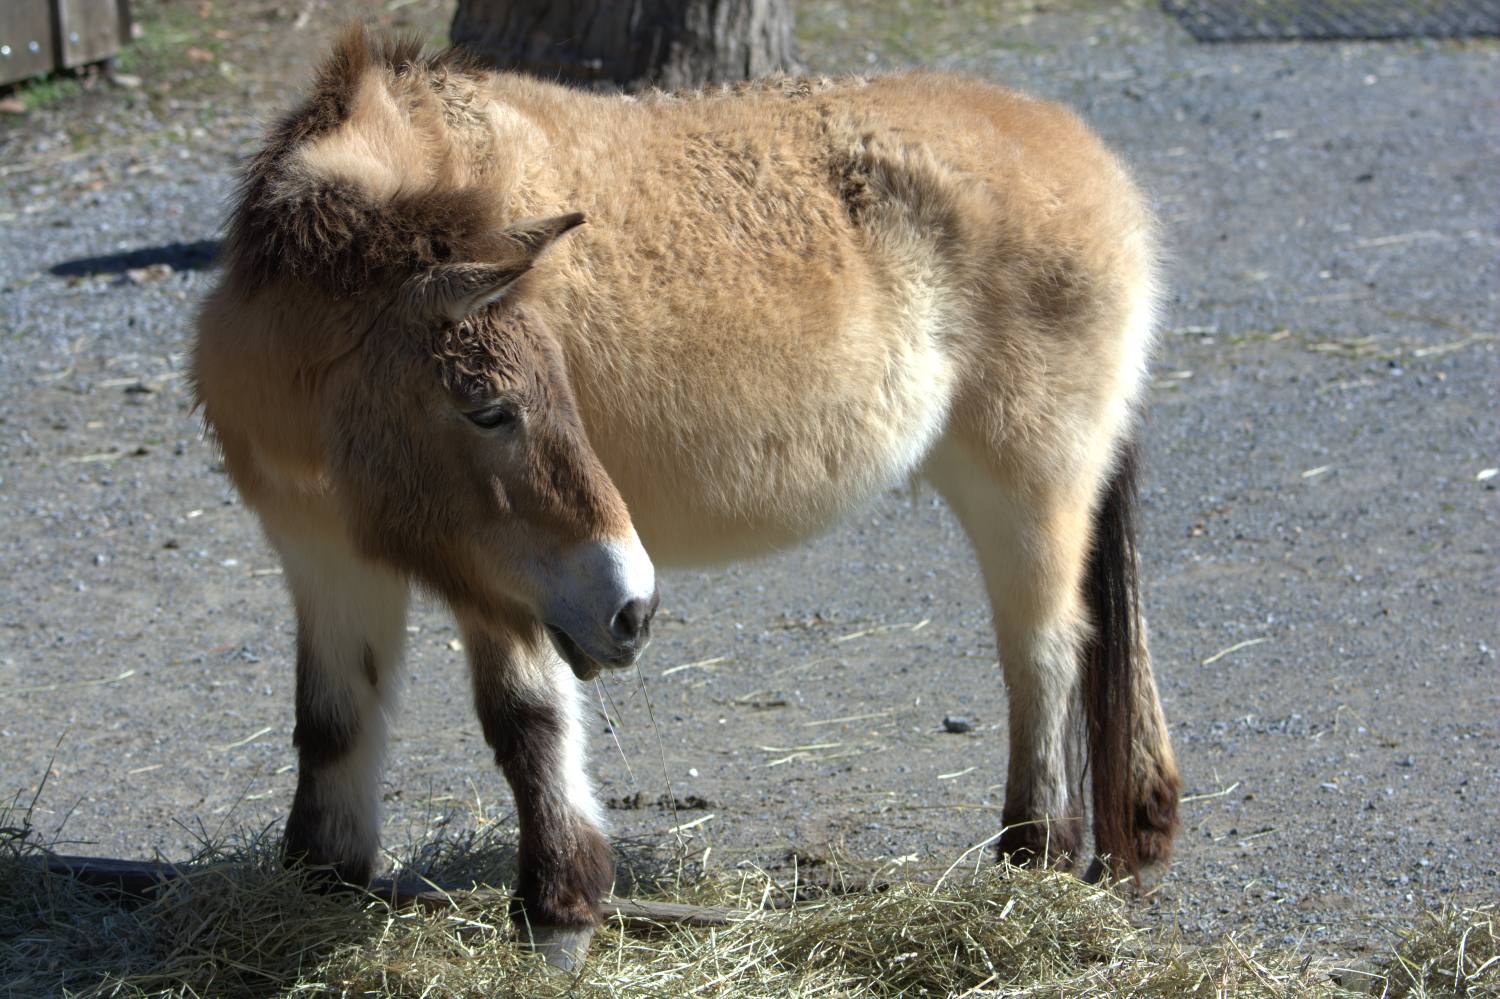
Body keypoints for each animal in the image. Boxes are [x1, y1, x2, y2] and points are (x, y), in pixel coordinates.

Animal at [192, 27, 1181, 969]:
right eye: (488, 409)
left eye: (523, 399)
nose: (633, 606)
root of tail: (1097, 166)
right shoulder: (330, 560)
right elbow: (332, 717)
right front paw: (321, 881)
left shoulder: (506, 584)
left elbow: (528, 722)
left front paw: (560, 911)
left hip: (1028, 492)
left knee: (1046, 652)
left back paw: (1035, 855)